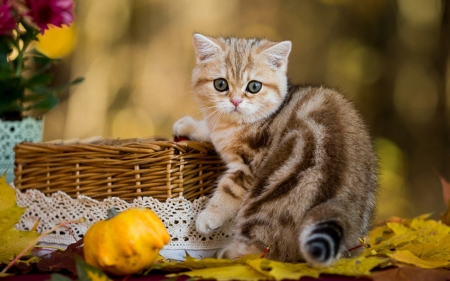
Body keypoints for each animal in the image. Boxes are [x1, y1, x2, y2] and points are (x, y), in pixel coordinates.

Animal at [174, 34, 378, 264]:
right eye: (220, 84)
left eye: (254, 86)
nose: (235, 101)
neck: (234, 126)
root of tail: (336, 203)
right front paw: (190, 126)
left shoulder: (249, 166)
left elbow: (229, 188)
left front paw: (208, 217)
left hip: (264, 199)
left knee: (267, 250)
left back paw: (229, 252)